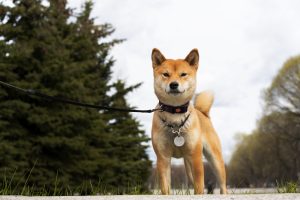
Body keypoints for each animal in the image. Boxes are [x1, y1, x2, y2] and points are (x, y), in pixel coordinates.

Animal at [151, 48, 226, 194]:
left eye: (183, 74)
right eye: (166, 74)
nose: (174, 84)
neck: (175, 115)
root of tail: (203, 113)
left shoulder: (195, 157)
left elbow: (199, 186)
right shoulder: (163, 158)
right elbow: (165, 188)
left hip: (214, 159)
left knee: (223, 185)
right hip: (188, 166)